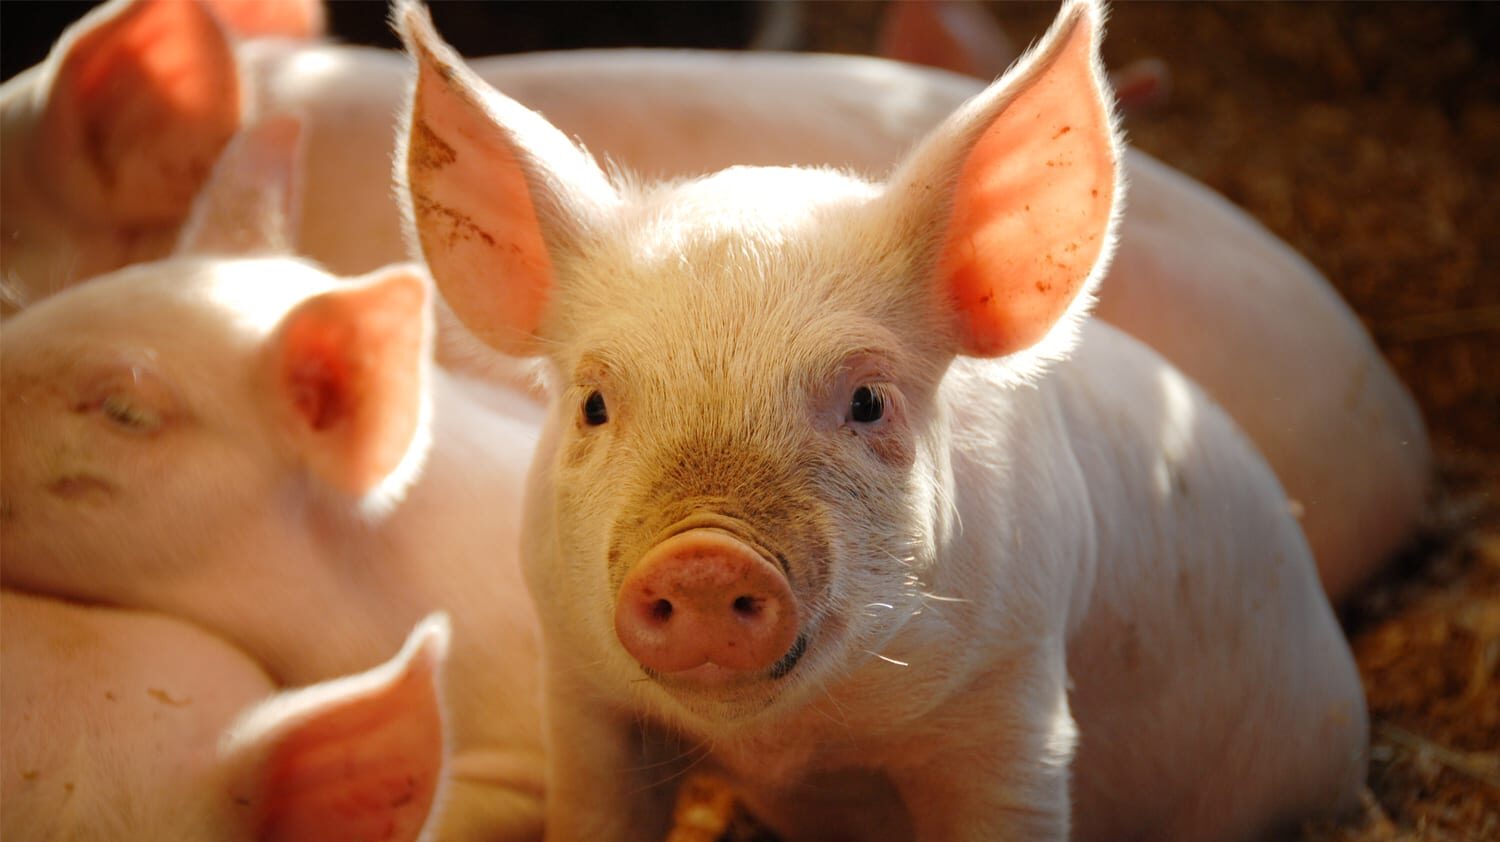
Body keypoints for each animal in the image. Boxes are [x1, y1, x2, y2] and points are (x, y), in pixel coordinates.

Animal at [399, 0, 1370, 839]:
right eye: (594, 404)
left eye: (867, 400)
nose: (704, 557)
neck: (791, 746)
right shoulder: (577, 689)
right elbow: (598, 810)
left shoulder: (1016, 704)